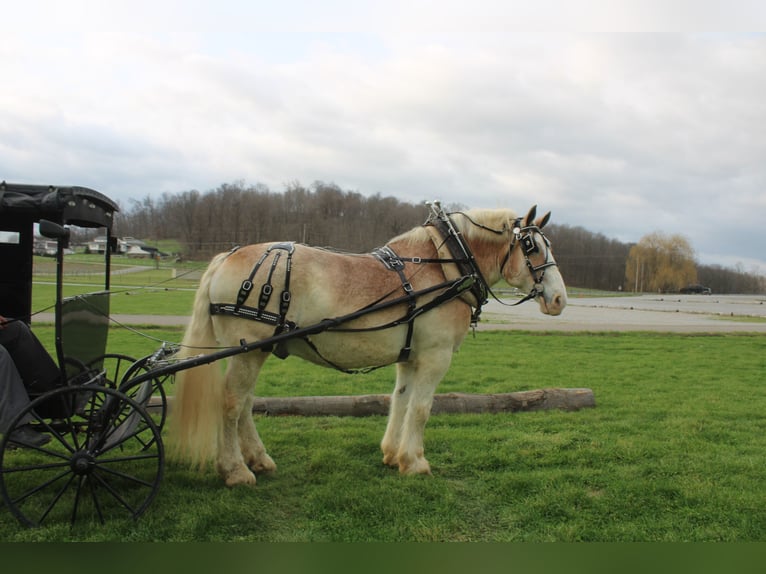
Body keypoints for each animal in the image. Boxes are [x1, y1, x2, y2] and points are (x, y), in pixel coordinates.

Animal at [169, 203, 567, 487]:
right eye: (531, 246)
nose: (559, 298)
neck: (446, 266)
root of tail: (226, 257)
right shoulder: (435, 357)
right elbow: (421, 409)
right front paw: (416, 462)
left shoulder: (410, 357)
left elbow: (400, 401)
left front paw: (393, 455)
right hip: (248, 351)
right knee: (232, 404)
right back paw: (235, 470)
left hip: (254, 352)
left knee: (246, 405)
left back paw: (259, 459)